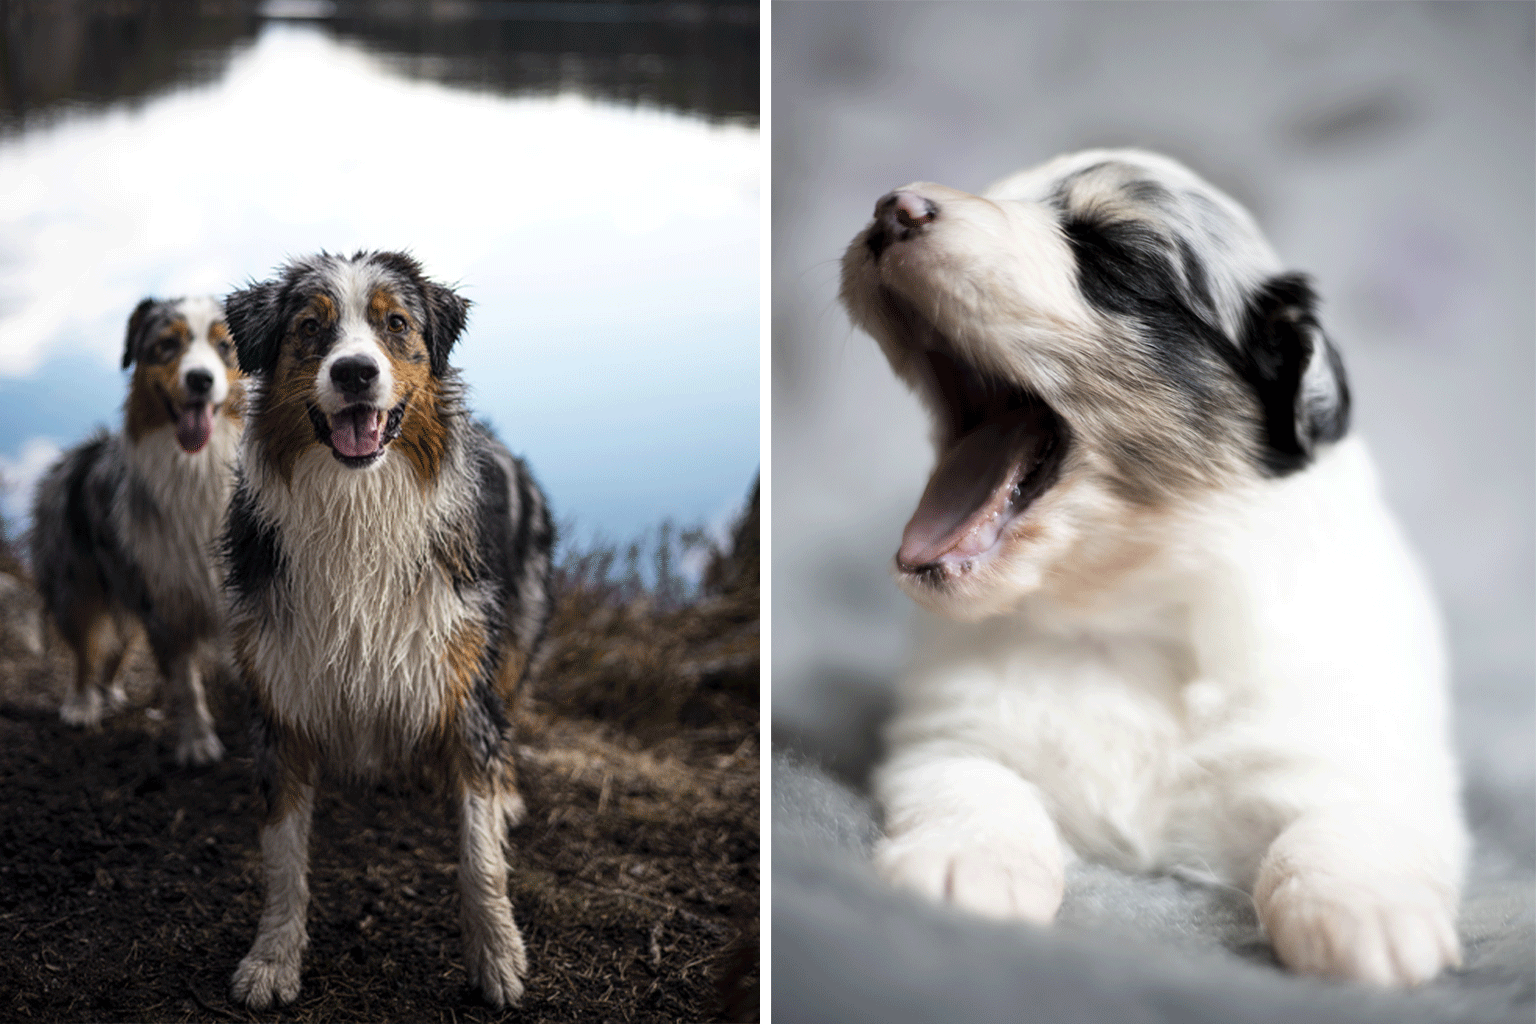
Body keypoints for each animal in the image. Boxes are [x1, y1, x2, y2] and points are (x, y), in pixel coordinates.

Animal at [31, 294, 241, 761]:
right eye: (167, 345)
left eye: (225, 346)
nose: (200, 380)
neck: (197, 468)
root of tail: (83, 451)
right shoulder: (163, 597)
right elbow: (184, 681)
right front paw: (198, 744)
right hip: (77, 583)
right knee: (84, 649)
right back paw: (83, 704)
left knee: (117, 647)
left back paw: (109, 694)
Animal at [216, 250, 552, 1007]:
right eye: (310, 327)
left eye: (394, 324)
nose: (354, 372)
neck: (358, 503)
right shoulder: (281, 688)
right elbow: (283, 856)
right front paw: (272, 959)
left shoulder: (462, 682)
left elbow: (480, 854)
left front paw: (498, 956)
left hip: (514, 630)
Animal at [841, 148, 1462, 988]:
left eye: (1115, 258)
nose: (891, 210)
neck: (1130, 618)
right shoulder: (948, 729)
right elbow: (976, 780)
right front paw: (963, 864)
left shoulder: (1352, 749)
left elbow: (1344, 823)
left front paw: (1369, 915)